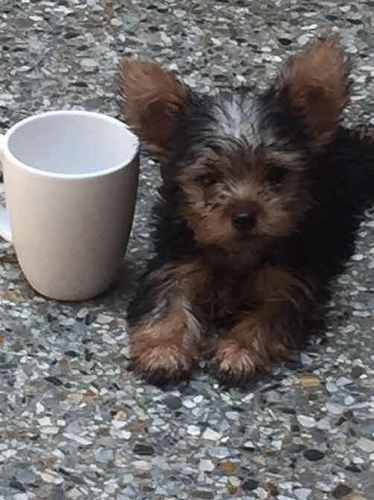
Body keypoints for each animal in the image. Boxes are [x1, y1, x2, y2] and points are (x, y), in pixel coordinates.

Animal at [119, 37, 374, 384]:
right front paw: (164, 350)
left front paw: (240, 351)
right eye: (208, 179)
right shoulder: (174, 263)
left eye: (277, 174)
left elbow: (269, 316)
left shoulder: (291, 282)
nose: (244, 216)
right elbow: (165, 301)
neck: (239, 254)